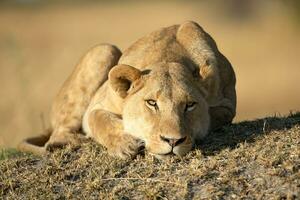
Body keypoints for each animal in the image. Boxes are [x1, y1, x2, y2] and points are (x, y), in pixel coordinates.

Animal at [18, 21, 237, 159]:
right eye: (151, 103)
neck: (171, 57)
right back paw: (83, 142)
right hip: (105, 50)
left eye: (190, 105)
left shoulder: (227, 105)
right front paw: (125, 145)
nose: (173, 141)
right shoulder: (96, 106)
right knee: (56, 137)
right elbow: (99, 119)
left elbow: (214, 117)